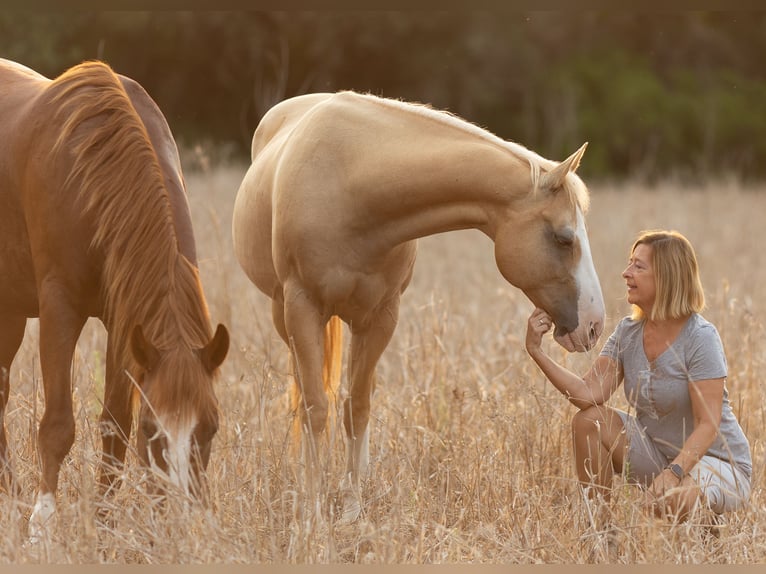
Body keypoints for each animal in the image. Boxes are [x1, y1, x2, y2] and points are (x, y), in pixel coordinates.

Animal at [0, 59, 230, 540]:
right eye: (153, 429)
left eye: (211, 427)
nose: (180, 520)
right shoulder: (60, 308)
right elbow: (58, 426)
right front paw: (40, 527)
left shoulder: (125, 322)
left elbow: (113, 426)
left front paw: (105, 527)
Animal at [232, 90, 605, 521]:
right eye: (564, 238)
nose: (594, 325)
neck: (352, 182)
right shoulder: (302, 309)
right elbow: (315, 408)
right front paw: (312, 511)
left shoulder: (381, 318)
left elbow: (357, 408)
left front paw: (351, 507)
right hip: (285, 316)